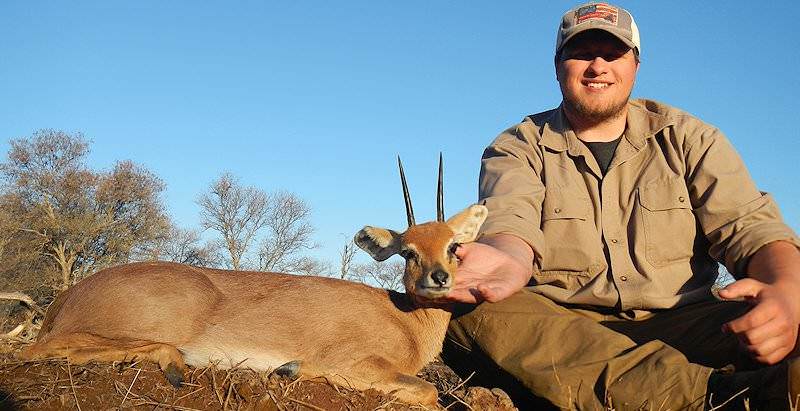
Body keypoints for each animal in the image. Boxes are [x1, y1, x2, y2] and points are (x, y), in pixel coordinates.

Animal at [21, 157, 488, 406]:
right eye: (408, 251)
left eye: (453, 246)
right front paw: (290, 368)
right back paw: (176, 366)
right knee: (38, 349)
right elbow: (426, 391)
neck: (405, 320)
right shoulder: (354, 362)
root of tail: (69, 296)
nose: (438, 278)